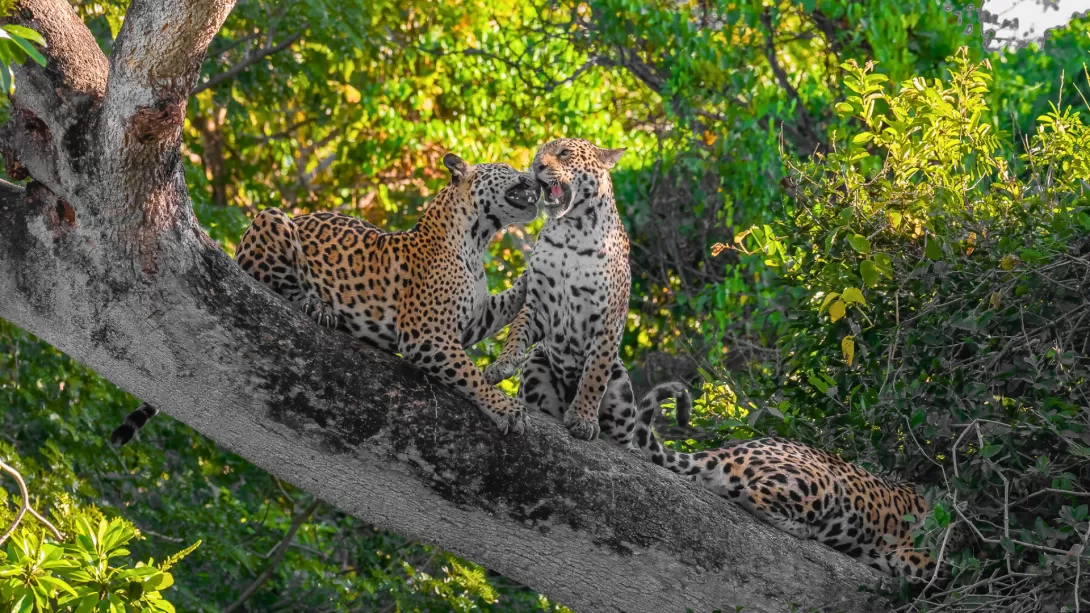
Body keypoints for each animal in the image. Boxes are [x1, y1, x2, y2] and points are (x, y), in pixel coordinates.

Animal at [111, 153, 540, 445]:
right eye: (505, 165)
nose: (534, 175)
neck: (476, 239)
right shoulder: (428, 335)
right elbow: (469, 375)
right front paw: (506, 408)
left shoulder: (474, 321)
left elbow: (506, 305)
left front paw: (533, 276)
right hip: (273, 219)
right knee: (271, 282)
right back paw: (318, 307)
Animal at [482, 138, 681, 447]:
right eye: (538, 153)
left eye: (564, 153)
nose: (536, 166)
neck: (571, 231)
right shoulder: (537, 303)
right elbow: (515, 335)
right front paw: (499, 366)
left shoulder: (607, 320)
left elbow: (593, 375)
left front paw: (583, 419)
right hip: (536, 366)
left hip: (621, 389)